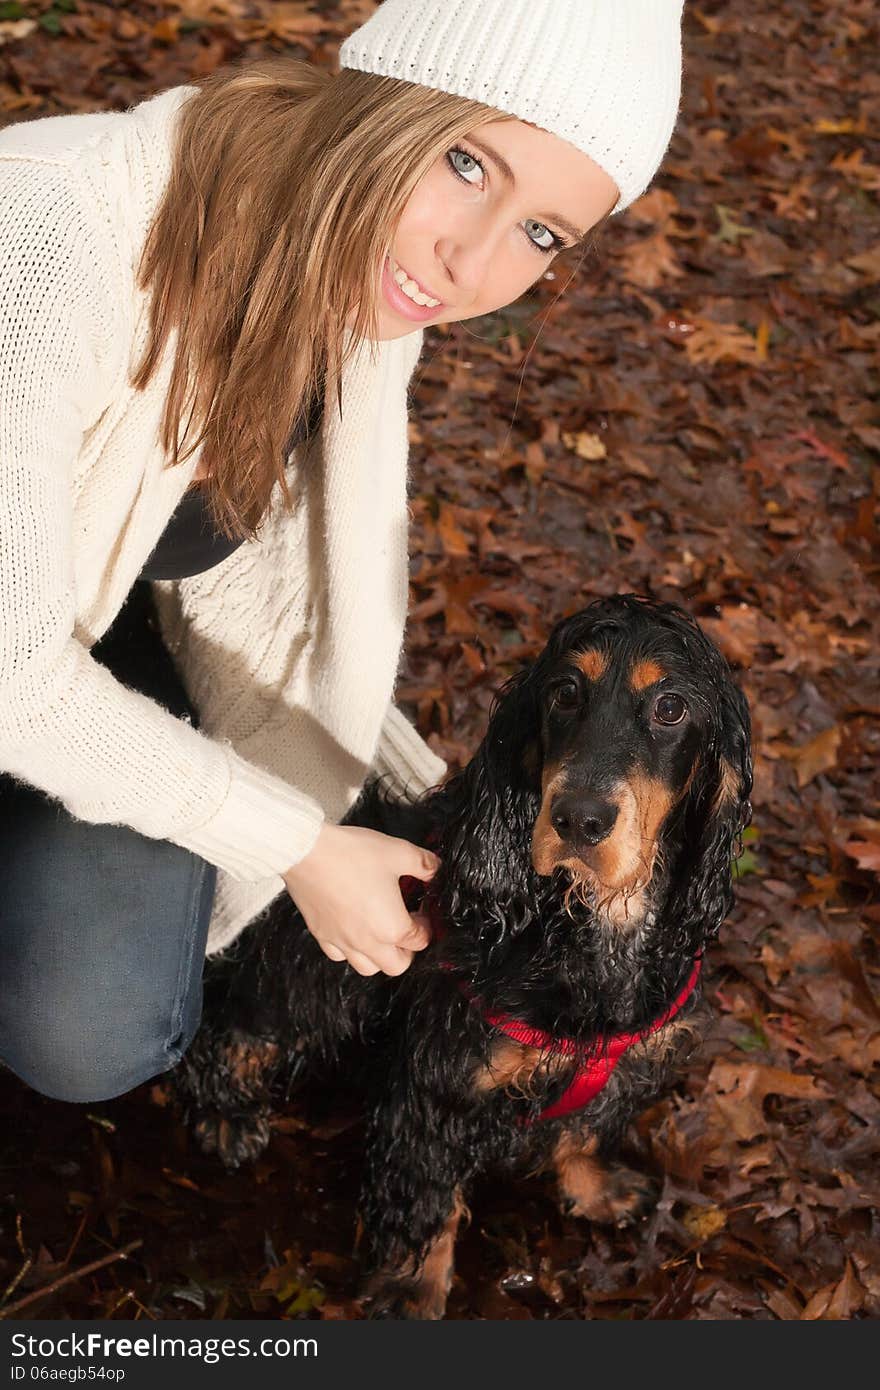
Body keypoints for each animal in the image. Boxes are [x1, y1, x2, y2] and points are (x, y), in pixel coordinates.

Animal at [176, 592, 750, 1317]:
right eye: (565, 692)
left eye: (671, 707)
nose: (579, 819)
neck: (590, 928)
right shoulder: (438, 1083)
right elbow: (430, 1199)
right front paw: (411, 1288)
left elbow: (584, 1130)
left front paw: (598, 1189)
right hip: (311, 972)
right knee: (234, 1029)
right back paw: (226, 1115)